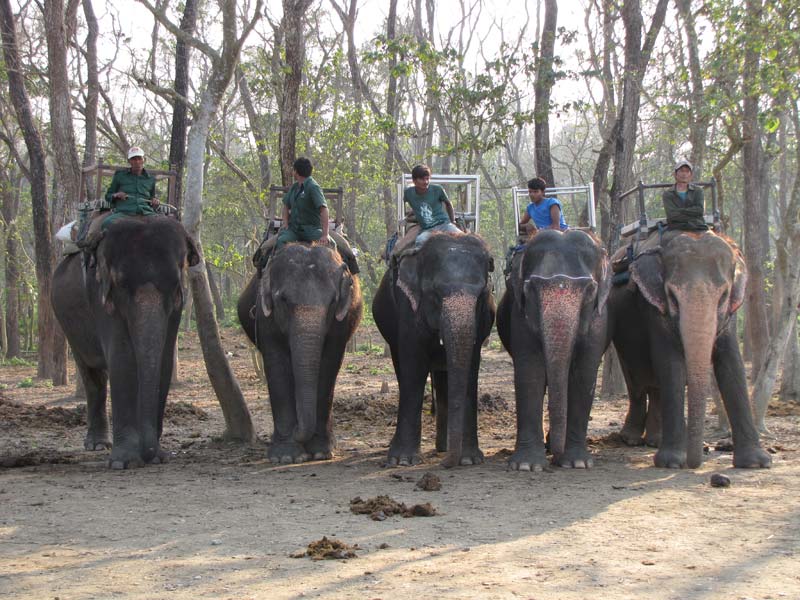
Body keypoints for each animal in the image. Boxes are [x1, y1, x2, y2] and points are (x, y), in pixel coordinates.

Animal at [51, 217, 200, 468]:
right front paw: (125, 461)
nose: (151, 454)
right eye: (120, 283)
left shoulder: (176, 306)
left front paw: (155, 457)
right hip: (67, 321)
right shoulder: (99, 295)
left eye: (175, 283)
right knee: (91, 374)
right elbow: (122, 358)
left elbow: (164, 359)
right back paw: (97, 444)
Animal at [238, 241, 362, 462]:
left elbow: (328, 365)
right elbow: (277, 364)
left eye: (333, 301)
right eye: (283, 300)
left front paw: (321, 451)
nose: (297, 429)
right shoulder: (265, 316)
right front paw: (286, 456)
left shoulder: (342, 320)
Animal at [374, 232, 496, 466]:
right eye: (436, 295)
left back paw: (444, 447)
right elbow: (413, 365)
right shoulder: (408, 307)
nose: (446, 464)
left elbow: (471, 368)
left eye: (480, 296)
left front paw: (470, 460)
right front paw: (402, 461)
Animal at [496, 229, 608, 468]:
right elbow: (530, 371)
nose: (555, 456)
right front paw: (527, 465)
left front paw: (577, 463)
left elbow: (584, 374)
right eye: (530, 288)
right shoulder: (520, 314)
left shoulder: (600, 318)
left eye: (590, 290)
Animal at [608, 230, 772, 468]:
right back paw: (631, 439)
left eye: (723, 296)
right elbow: (670, 363)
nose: (697, 461)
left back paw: (654, 441)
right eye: (672, 297)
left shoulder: (730, 313)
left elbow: (732, 364)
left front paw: (756, 463)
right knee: (637, 380)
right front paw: (672, 463)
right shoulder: (653, 308)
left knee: (655, 386)